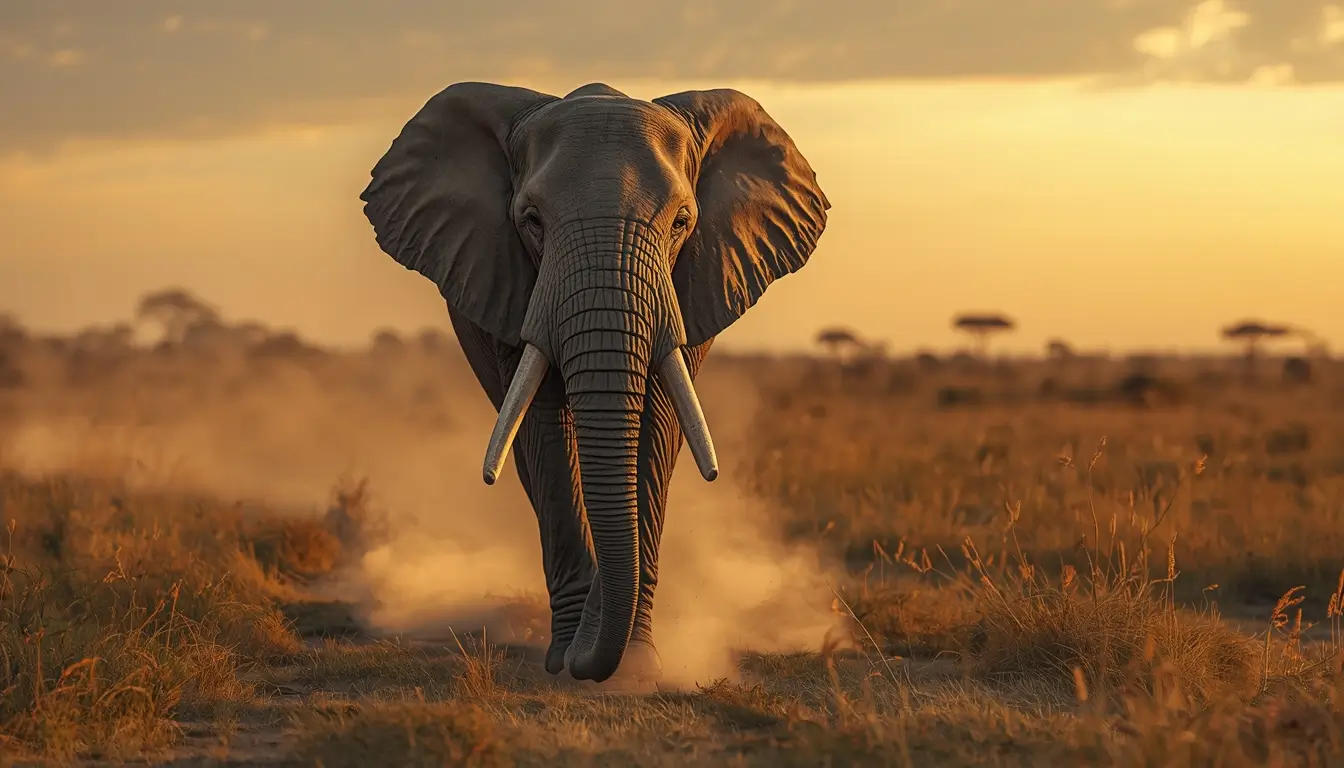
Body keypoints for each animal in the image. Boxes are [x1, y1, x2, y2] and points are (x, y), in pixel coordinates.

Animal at [360, 81, 829, 683]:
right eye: (532, 220)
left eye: (682, 222)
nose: (583, 662)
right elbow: (544, 428)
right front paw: (568, 660)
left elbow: (658, 427)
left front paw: (637, 667)